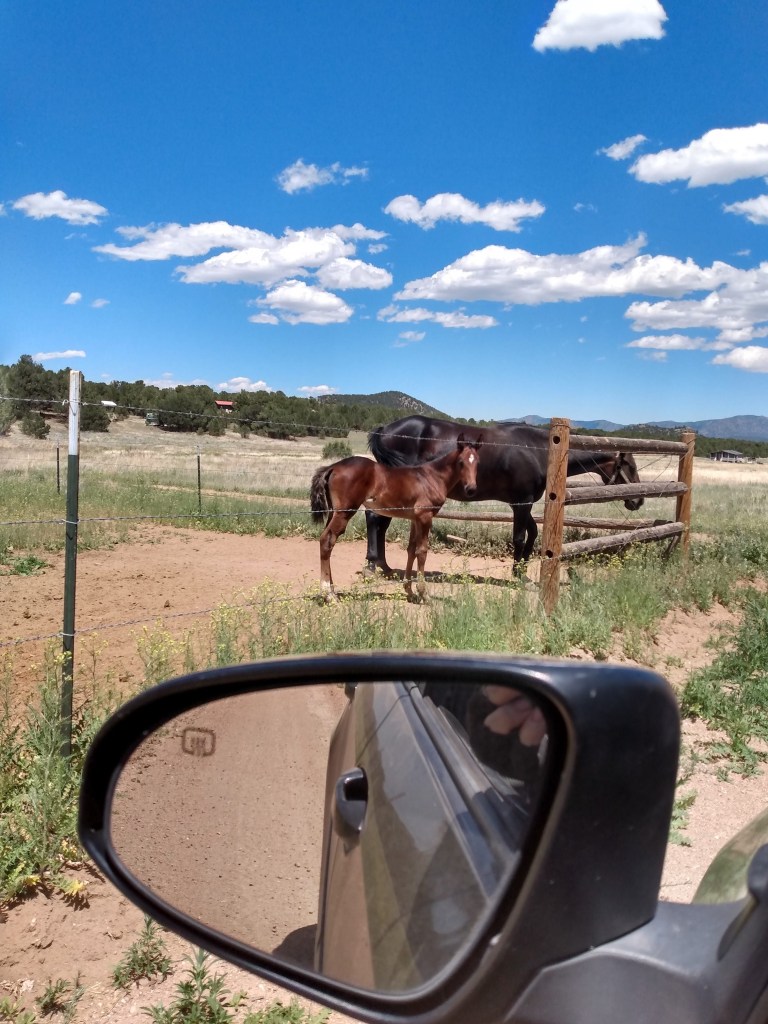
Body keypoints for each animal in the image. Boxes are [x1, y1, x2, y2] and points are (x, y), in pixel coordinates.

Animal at [310, 436, 481, 602]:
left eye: (477, 462)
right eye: (461, 462)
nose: (471, 489)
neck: (433, 477)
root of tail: (333, 467)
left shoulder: (415, 519)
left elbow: (411, 550)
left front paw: (409, 591)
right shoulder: (425, 516)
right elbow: (422, 551)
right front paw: (424, 594)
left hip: (333, 512)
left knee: (327, 540)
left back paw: (332, 591)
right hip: (344, 512)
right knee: (327, 540)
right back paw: (328, 595)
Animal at [365, 416, 643, 575]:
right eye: (630, 466)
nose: (638, 500)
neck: (540, 450)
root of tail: (385, 429)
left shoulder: (521, 503)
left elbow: (533, 532)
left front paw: (522, 569)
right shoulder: (522, 502)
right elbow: (519, 538)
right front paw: (515, 574)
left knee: (379, 521)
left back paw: (383, 567)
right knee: (374, 518)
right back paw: (373, 565)